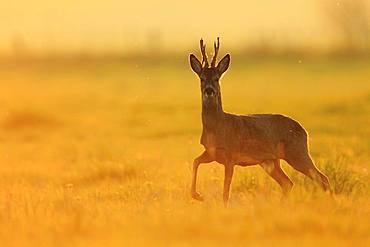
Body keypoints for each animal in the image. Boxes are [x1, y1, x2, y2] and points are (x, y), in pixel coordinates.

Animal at [189, 37, 330, 206]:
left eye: (217, 78)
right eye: (202, 78)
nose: (209, 90)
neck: (216, 127)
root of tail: (304, 131)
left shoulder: (231, 155)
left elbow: (226, 190)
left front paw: (219, 204)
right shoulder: (211, 152)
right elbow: (195, 162)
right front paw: (197, 195)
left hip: (297, 152)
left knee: (321, 178)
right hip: (270, 161)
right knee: (288, 183)